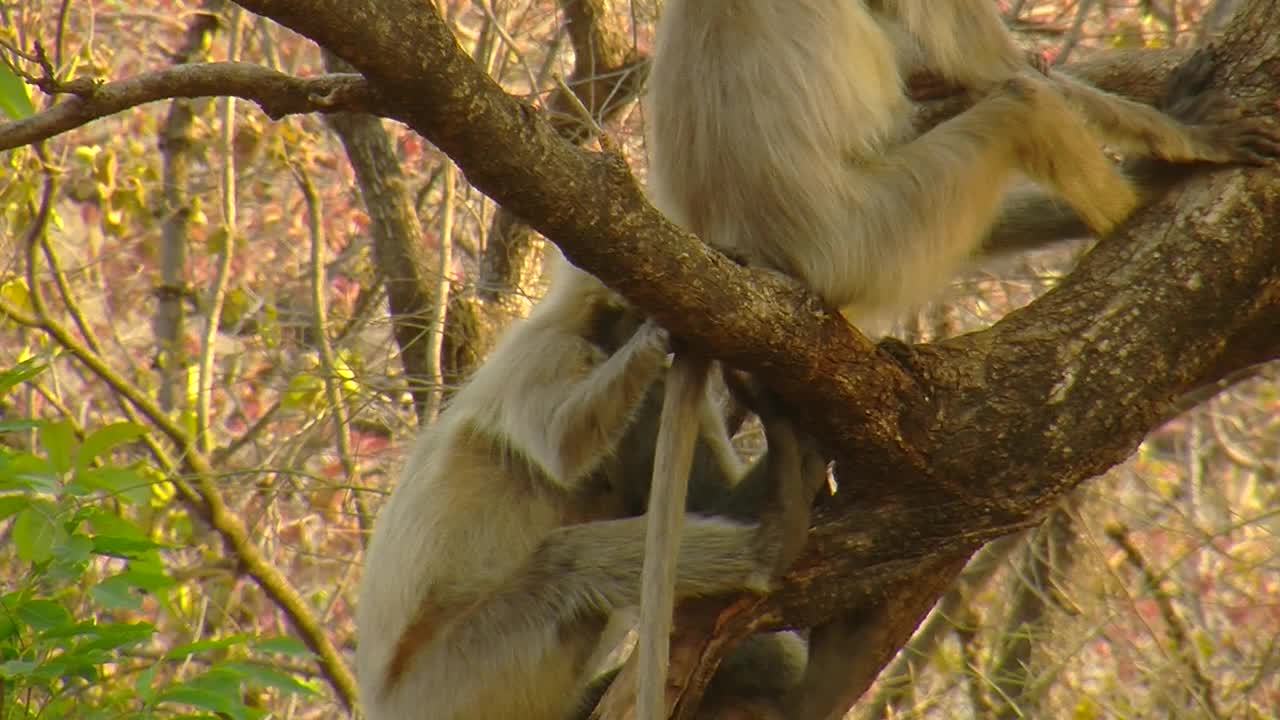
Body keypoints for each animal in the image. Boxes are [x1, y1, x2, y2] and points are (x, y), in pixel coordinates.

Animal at [355, 251, 824, 717]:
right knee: (568, 562)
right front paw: (658, 333)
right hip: (457, 677)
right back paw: (771, 541)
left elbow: (713, 500)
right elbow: (563, 443)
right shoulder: (549, 351)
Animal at [640, 1, 1280, 717]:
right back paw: (1134, 201)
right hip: (871, 238)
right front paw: (1188, 133)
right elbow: (1006, 72)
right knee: (1020, 103)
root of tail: (732, 241)